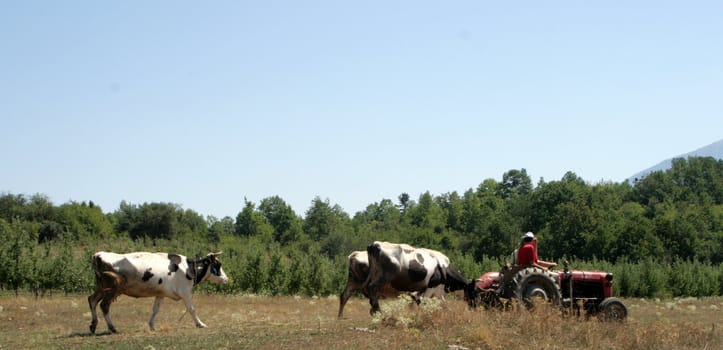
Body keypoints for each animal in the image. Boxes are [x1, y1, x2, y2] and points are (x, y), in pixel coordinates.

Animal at [88, 252, 229, 334]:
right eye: (217, 264)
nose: (226, 279)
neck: (188, 268)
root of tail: (98, 255)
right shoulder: (185, 292)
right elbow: (192, 309)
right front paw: (200, 324)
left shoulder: (160, 294)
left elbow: (155, 309)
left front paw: (151, 325)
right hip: (112, 289)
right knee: (104, 305)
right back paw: (112, 328)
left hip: (102, 287)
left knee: (92, 300)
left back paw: (93, 325)